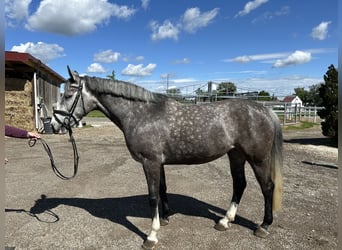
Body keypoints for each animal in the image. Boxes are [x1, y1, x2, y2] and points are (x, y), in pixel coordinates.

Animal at [51, 67, 284, 250]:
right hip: (235, 155)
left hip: (258, 158)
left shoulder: (150, 162)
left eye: (68, 95)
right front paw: (165, 218)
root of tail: (265, 110)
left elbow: (152, 196)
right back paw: (225, 221)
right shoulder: (158, 163)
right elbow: (162, 189)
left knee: (267, 187)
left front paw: (151, 236)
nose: (53, 125)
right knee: (239, 184)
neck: (141, 114)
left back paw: (263, 226)